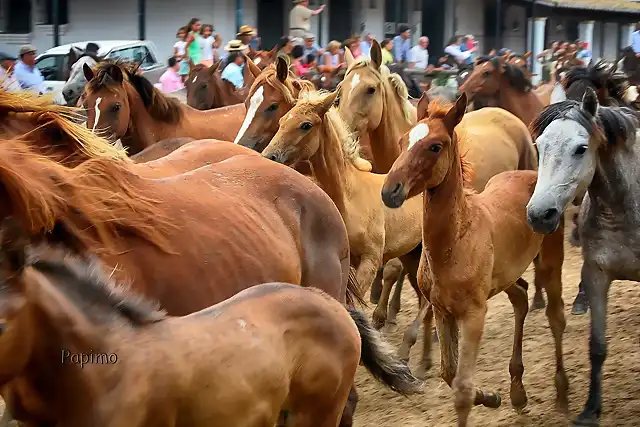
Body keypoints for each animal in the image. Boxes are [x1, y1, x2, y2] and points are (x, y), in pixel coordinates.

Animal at [380, 94, 564, 427]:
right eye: (402, 141)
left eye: (435, 146)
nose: (390, 191)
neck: (454, 241)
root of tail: (534, 176)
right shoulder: (443, 311)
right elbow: (449, 373)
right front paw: (491, 397)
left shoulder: (474, 314)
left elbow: (462, 390)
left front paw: (481, 396)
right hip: (505, 276)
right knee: (520, 297)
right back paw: (517, 392)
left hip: (550, 260)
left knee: (556, 317)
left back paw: (562, 397)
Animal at [524, 84, 640, 427]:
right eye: (539, 147)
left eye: (580, 148)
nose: (539, 215)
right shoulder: (596, 274)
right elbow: (597, 347)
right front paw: (590, 409)